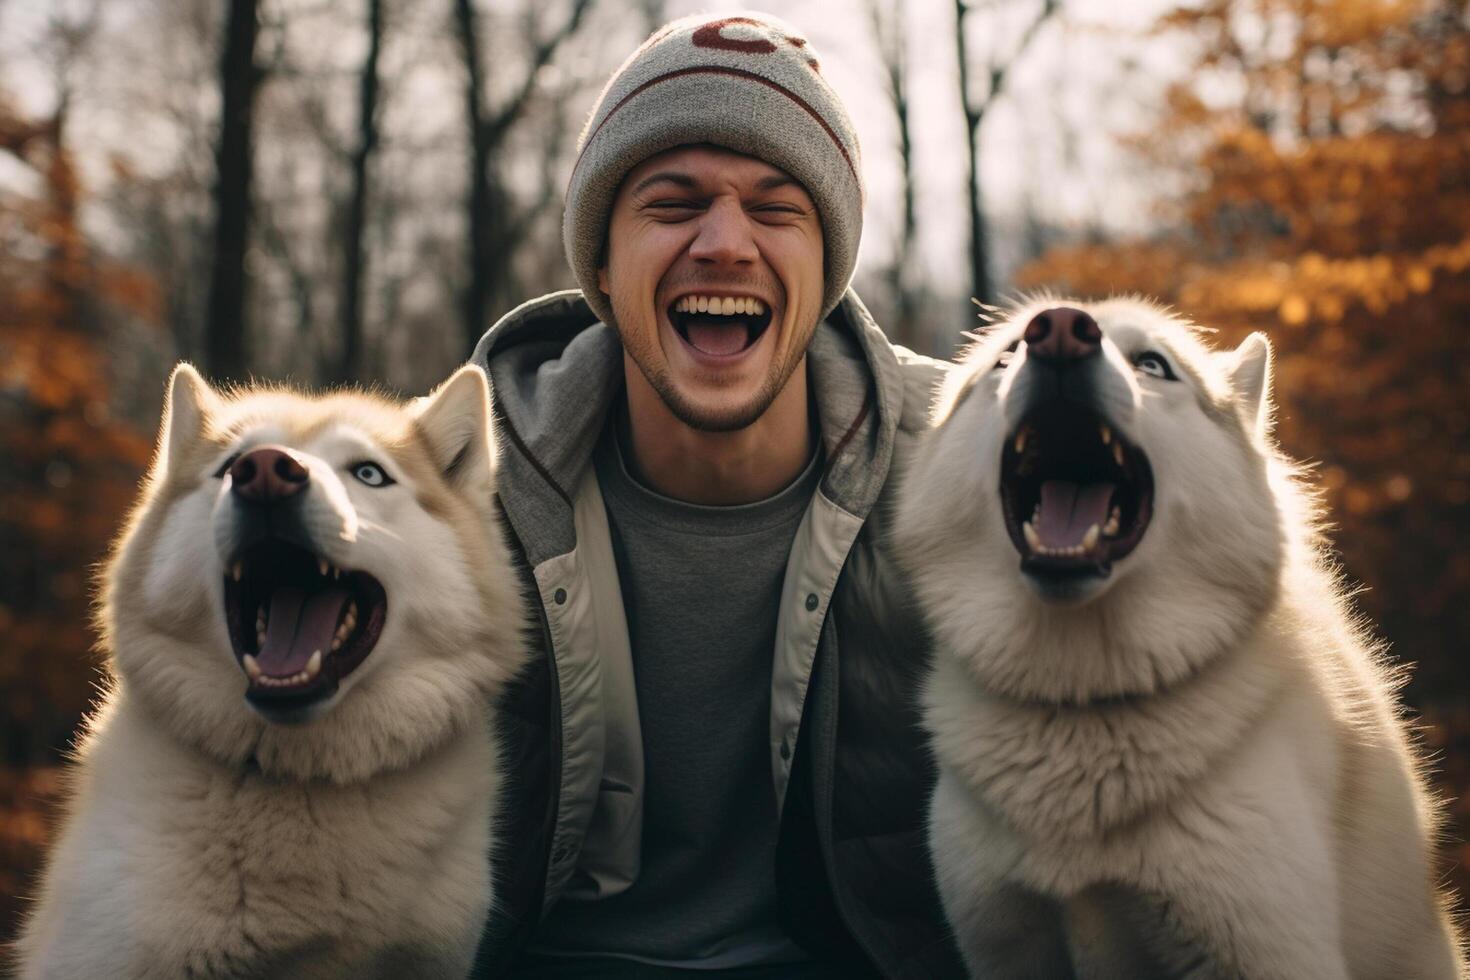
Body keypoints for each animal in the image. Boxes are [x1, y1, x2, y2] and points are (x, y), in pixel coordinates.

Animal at [887, 301, 1464, 980]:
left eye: (1153, 364)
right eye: (1005, 357)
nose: (1059, 332)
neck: (1084, 707)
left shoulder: (1267, 951)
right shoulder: (1005, 949)